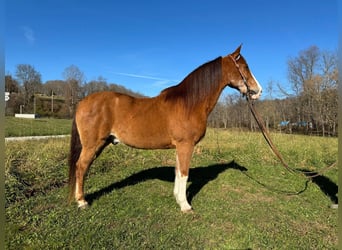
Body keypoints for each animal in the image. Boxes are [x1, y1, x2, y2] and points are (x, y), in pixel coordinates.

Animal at [69, 44, 262, 211]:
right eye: (244, 66)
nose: (258, 91)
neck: (190, 104)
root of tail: (82, 102)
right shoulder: (186, 145)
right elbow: (184, 173)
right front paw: (185, 206)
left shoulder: (180, 146)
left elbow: (178, 172)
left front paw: (177, 198)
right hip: (93, 144)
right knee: (81, 166)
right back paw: (82, 201)